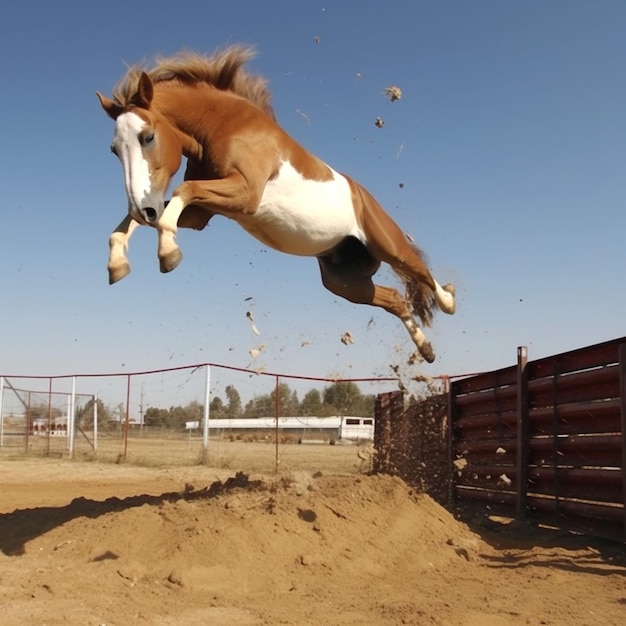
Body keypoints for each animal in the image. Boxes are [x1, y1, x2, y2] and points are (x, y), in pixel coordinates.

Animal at [96, 44, 454, 360]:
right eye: (114, 150)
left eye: (148, 137)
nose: (144, 208)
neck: (223, 125)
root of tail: (365, 196)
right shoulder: (202, 213)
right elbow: (145, 217)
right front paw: (118, 264)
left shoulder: (245, 194)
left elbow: (183, 191)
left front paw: (168, 253)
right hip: (344, 282)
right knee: (396, 299)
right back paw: (426, 350)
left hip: (386, 245)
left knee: (420, 272)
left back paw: (449, 300)